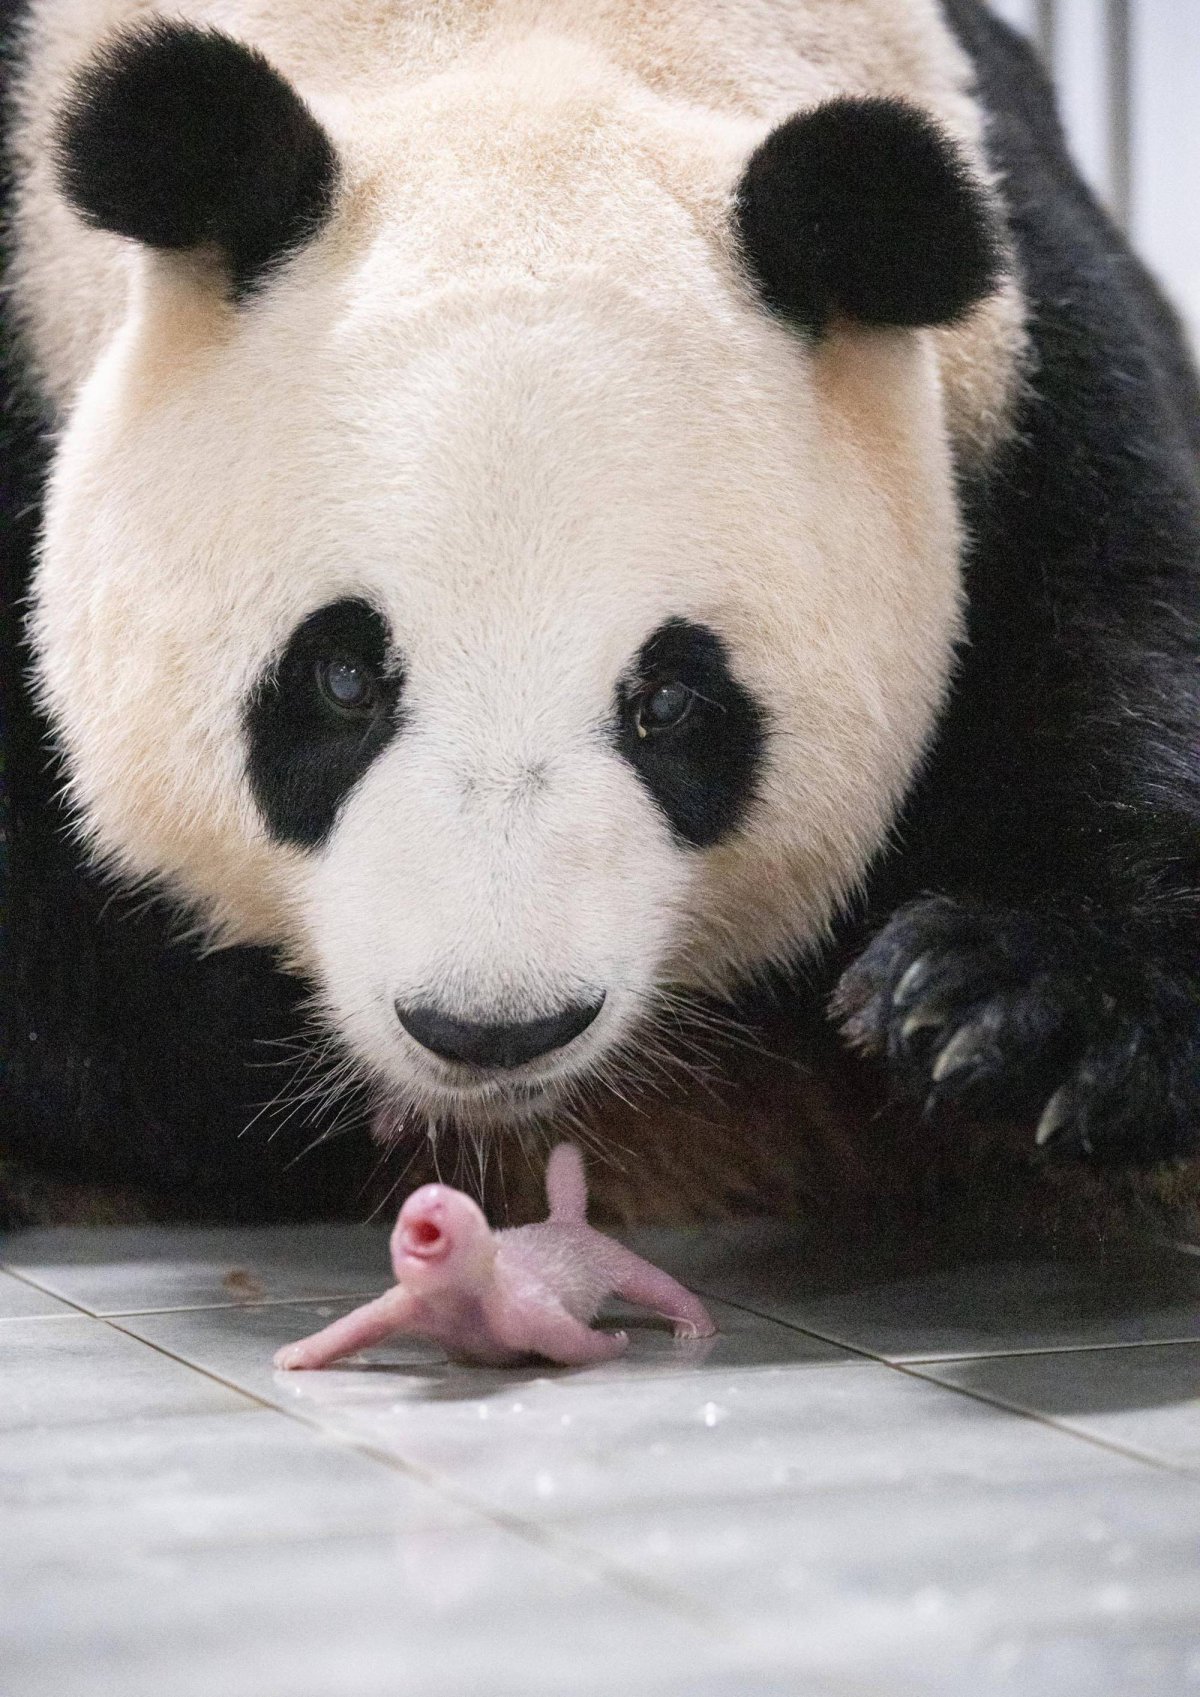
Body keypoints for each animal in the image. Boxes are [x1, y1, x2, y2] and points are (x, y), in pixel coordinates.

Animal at [2, 0, 1200, 1248]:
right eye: (340, 678)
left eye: (669, 700)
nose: (492, 1027)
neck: (518, 41)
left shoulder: (1025, 350)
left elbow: (1124, 636)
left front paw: (1006, 1010)